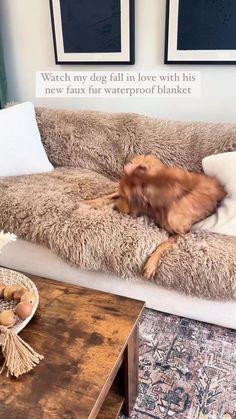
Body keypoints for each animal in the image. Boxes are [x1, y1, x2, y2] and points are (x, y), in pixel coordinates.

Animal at [85, 156, 227, 280]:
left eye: (126, 197)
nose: (114, 208)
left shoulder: (182, 231)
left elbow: (163, 244)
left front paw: (151, 264)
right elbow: (111, 194)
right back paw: (90, 202)